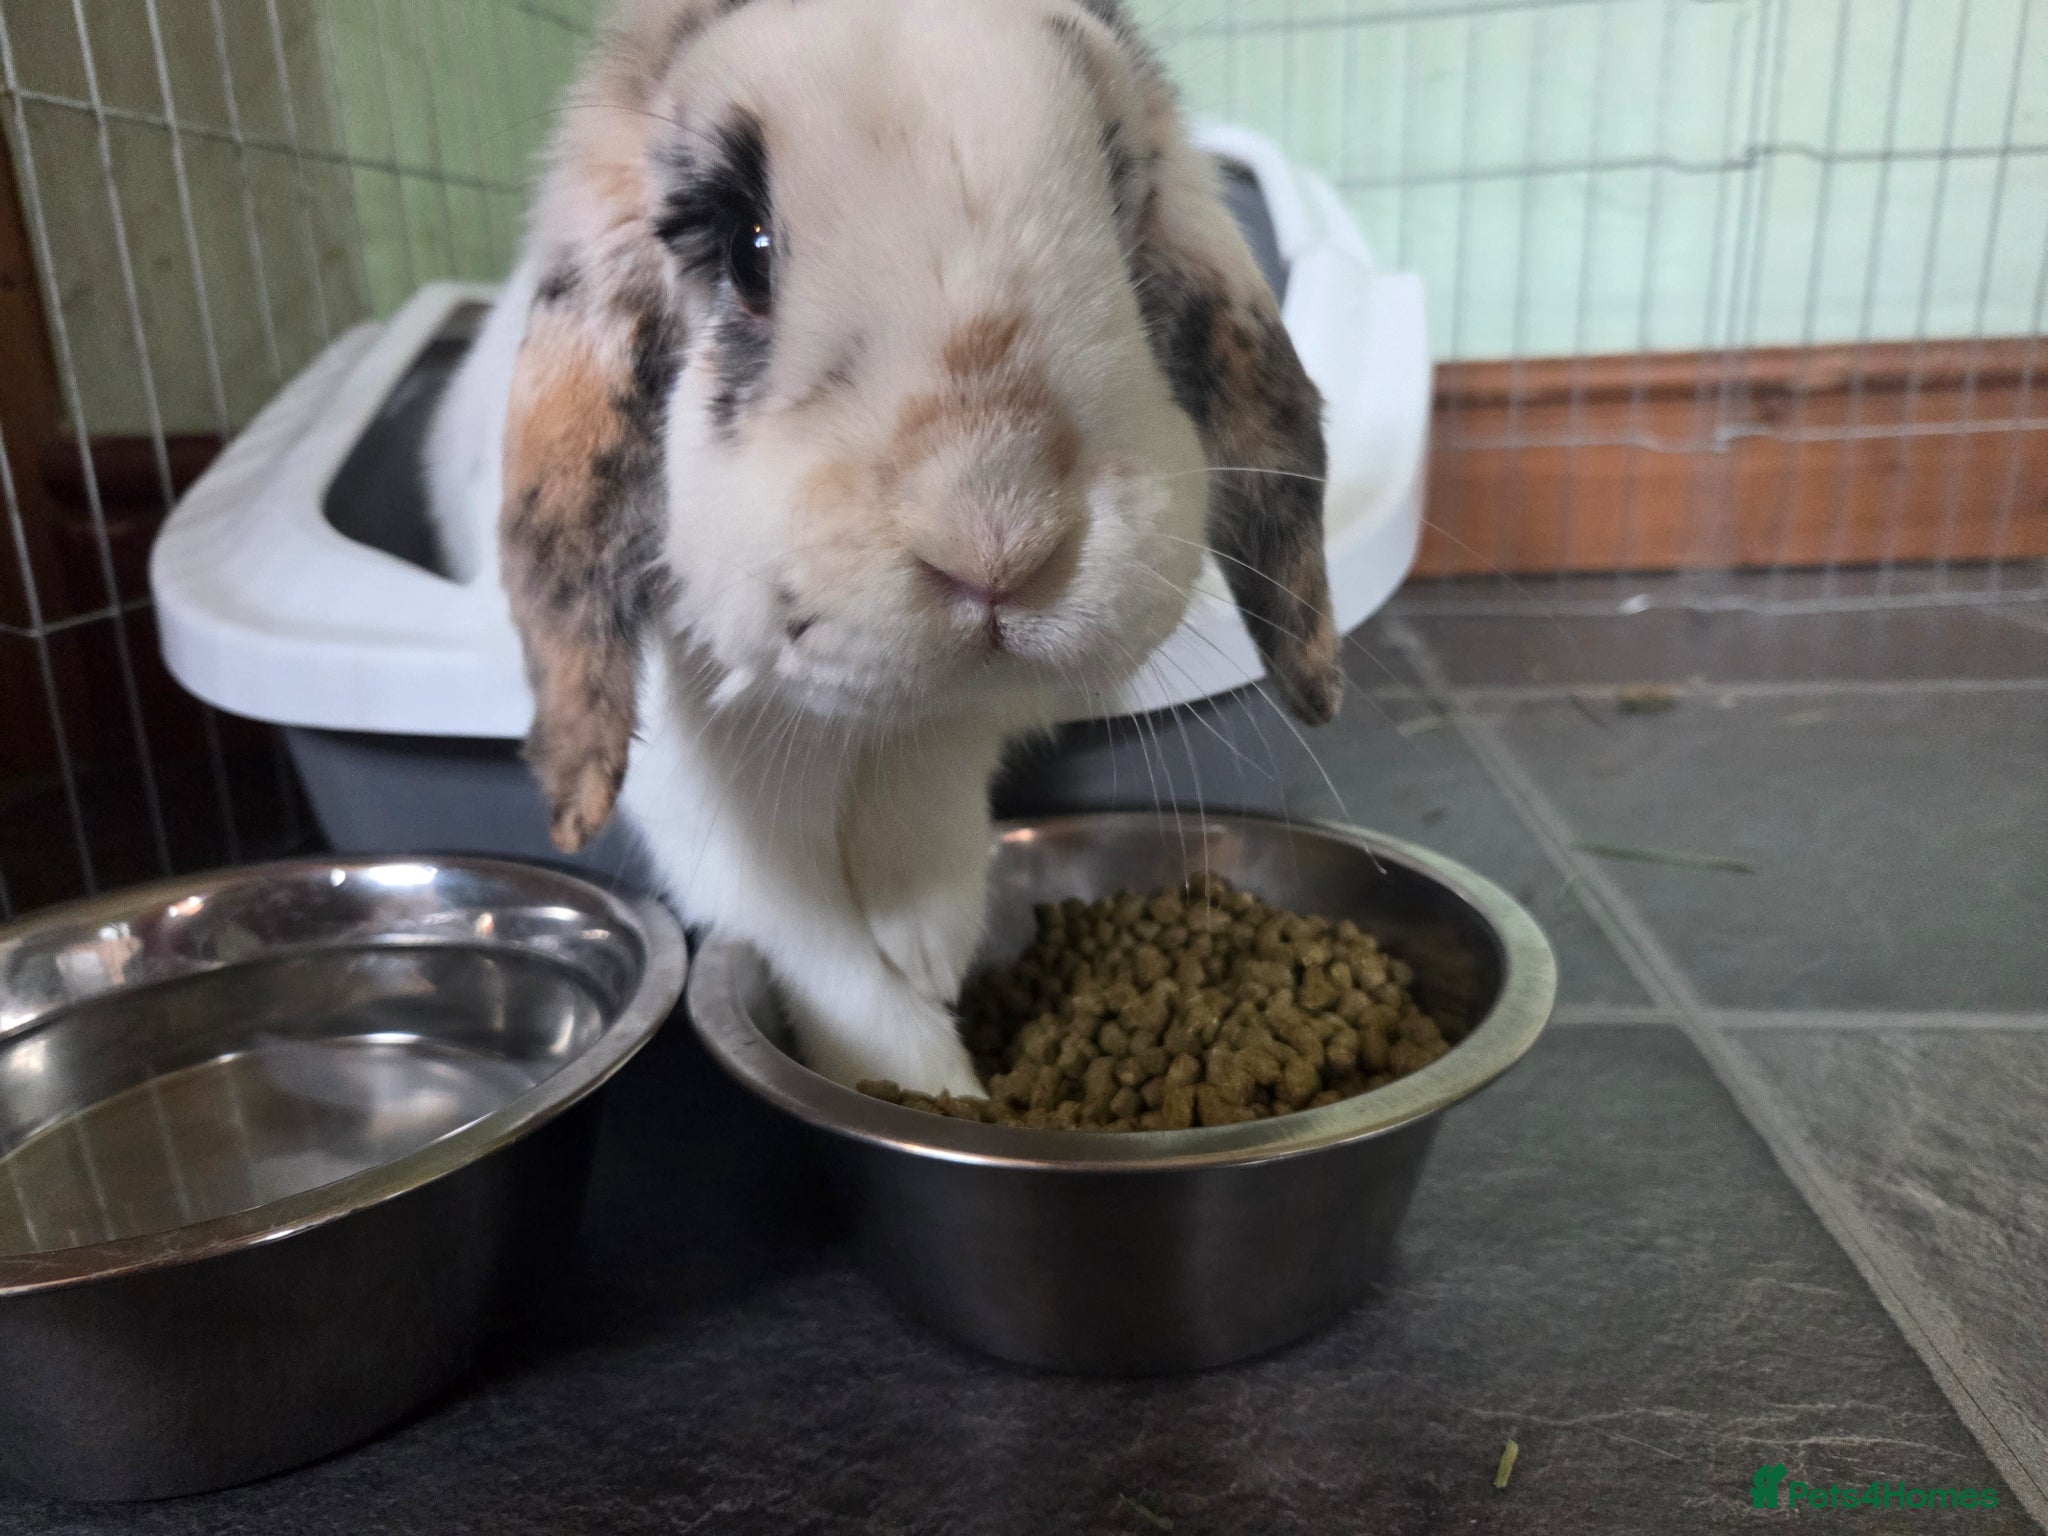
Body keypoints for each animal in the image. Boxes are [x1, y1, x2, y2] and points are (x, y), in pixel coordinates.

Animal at [424, 0, 1343, 1097]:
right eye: (746, 248)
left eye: (1124, 228)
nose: (998, 543)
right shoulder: (713, 812)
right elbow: (825, 955)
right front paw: (937, 1084)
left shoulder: (962, 720)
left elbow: (932, 790)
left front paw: (933, 940)